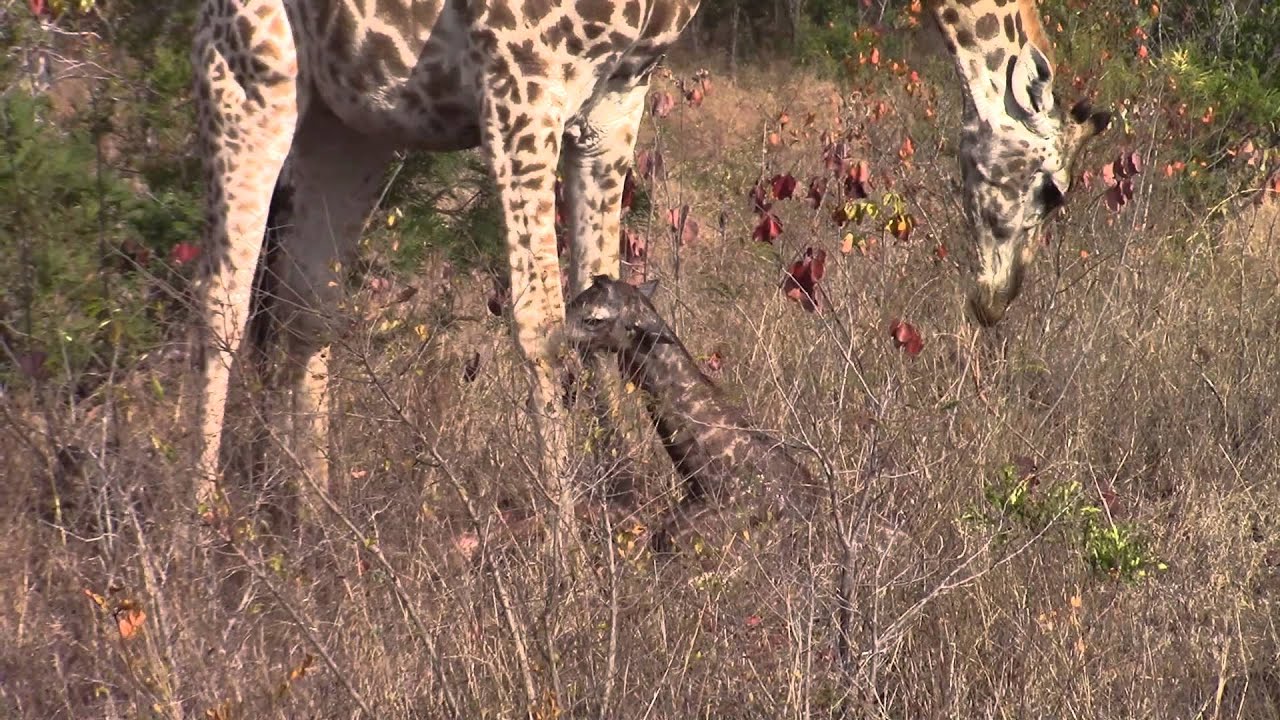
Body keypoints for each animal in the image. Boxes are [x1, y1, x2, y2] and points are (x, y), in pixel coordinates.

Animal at [190, 0, 700, 520]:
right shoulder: (519, 85)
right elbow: (542, 327)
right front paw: (565, 536)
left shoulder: (617, 102)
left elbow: (603, 295)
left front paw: (623, 507)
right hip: (251, 73)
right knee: (223, 297)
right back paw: (199, 520)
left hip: (350, 120)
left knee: (306, 307)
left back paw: (317, 518)